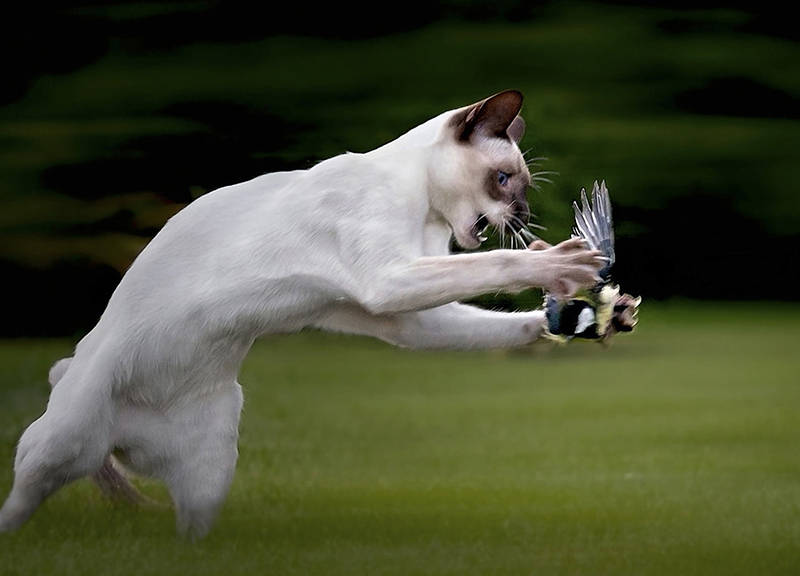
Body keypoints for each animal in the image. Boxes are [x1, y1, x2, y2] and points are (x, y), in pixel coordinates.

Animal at [0, 91, 600, 540]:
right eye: (504, 180)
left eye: (520, 186)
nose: (523, 215)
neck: (422, 209)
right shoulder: (389, 279)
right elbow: (497, 263)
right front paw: (563, 263)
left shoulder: (392, 312)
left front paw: (565, 319)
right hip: (63, 446)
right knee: (24, 498)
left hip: (209, 473)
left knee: (183, 526)